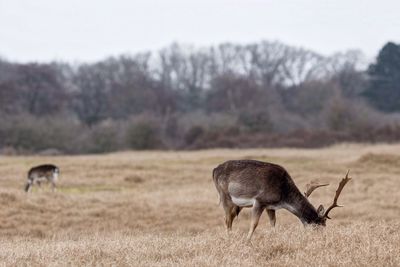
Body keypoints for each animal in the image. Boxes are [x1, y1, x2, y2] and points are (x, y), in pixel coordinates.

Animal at [212, 161, 350, 241]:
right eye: (320, 224)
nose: (323, 238)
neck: (283, 195)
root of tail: (214, 170)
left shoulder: (270, 206)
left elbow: (273, 223)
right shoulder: (259, 201)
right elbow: (254, 224)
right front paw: (247, 242)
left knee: (229, 218)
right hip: (225, 196)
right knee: (227, 219)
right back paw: (229, 239)